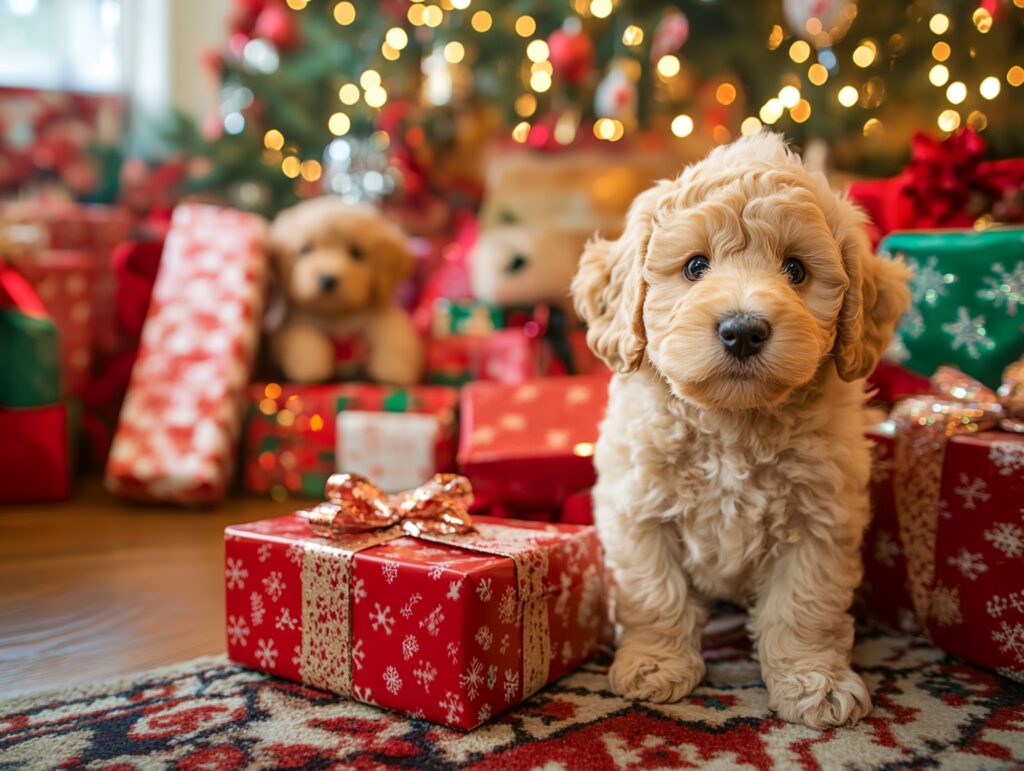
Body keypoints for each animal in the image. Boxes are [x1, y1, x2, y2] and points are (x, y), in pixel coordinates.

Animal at [573, 132, 909, 729]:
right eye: (695, 266)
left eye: (796, 269)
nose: (742, 330)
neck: (733, 423)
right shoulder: (639, 509)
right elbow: (655, 594)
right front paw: (655, 665)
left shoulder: (821, 521)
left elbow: (804, 606)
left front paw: (814, 683)